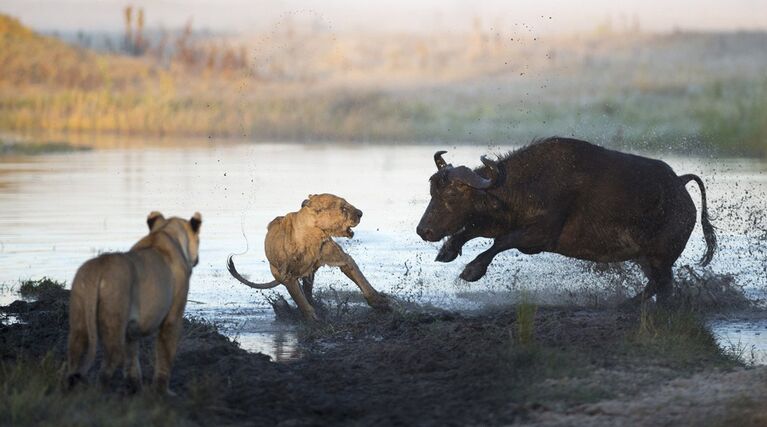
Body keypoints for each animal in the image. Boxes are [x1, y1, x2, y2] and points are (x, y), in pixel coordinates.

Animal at [66, 211, 202, 394]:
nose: (197, 259)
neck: (164, 232)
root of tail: (99, 268)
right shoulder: (173, 317)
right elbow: (165, 355)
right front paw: (162, 391)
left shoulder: (131, 330)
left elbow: (132, 361)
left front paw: (135, 389)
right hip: (114, 322)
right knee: (106, 367)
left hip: (79, 322)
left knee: (72, 363)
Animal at [225, 194, 388, 320]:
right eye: (343, 208)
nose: (360, 213)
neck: (313, 236)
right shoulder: (287, 277)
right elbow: (301, 302)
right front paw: (313, 320)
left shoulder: (343, 259)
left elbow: (363, 282)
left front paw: (382, 303)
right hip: (280, 272)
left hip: (309, 274)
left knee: (308, 290)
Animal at [416, 138, 716, 304]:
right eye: (433, 191)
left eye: (453, 194)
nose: (423, 230)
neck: (529, 183)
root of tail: (680, 183)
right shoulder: (504, 221)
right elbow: (474, 229)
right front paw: (447, 250)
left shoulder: (539, 236)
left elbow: (500, 242)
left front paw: (471, 270)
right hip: (645, 258)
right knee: (658, 285)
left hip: (660, 257)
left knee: (662, 286)